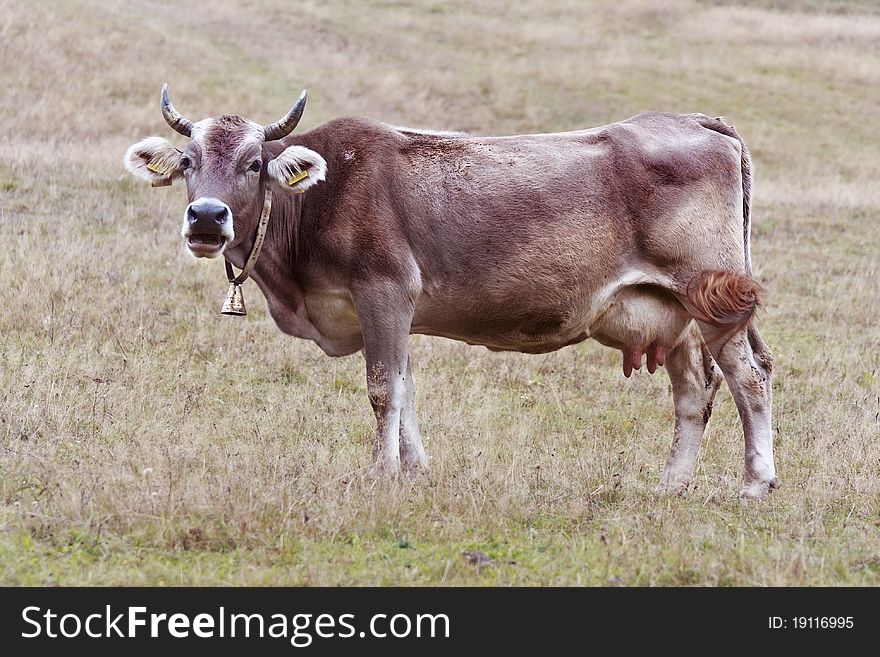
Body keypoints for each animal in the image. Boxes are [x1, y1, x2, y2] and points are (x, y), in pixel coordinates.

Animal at [124, 84, 776, 500]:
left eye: (255, 163)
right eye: (188, 162)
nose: (207, 218)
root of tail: (694, 120)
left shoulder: (385, 290)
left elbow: (383, 390)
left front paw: (381, 476)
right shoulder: (386, 313)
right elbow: (405, 389)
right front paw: (415, 473)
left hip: (712, 295)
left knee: (750, 375)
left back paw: (754, 484)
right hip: (675, 312)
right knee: (694, 391)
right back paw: (671, 486)